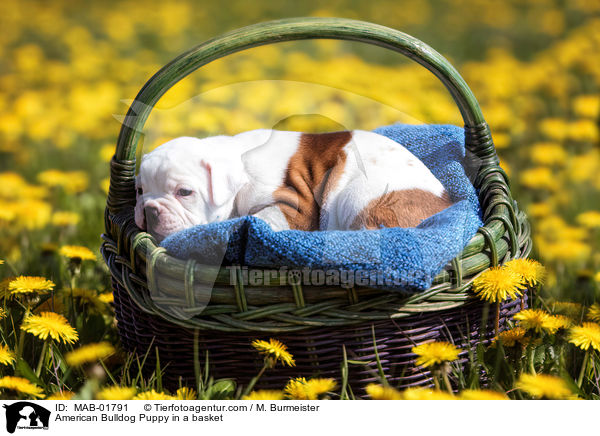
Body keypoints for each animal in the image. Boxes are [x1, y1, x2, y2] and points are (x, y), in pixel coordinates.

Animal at [134, 129, 452, 242]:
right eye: (139, 191)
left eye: (184, 193)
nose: (149, 209)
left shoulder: (294, 207)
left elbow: (264, 217)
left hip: (358, 195)